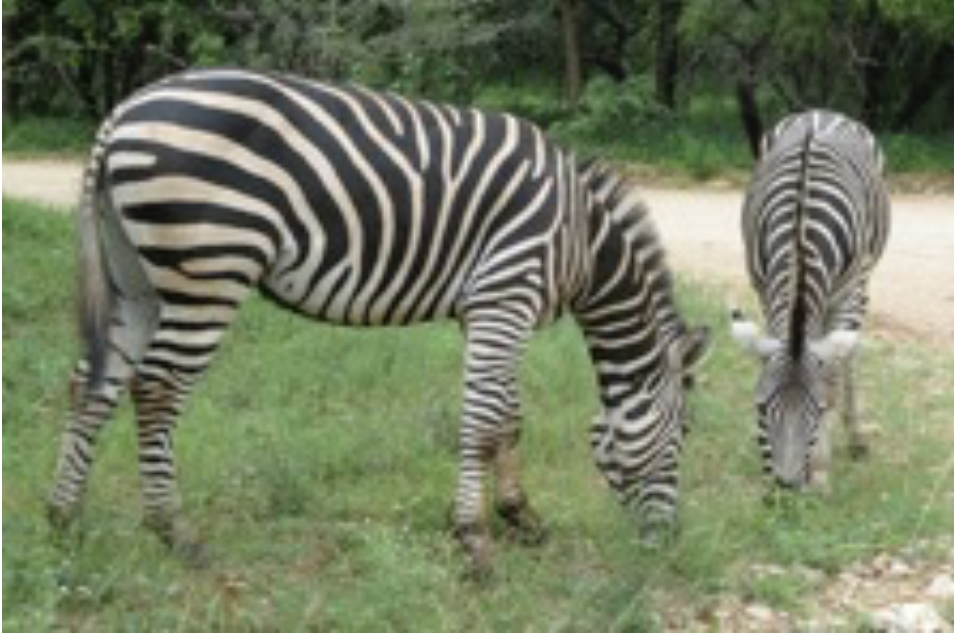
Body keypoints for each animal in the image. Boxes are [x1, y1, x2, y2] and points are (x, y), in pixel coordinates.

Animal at [48, 69, 712, 576]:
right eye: (682, 435)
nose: (669, 540)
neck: (582, 240)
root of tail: (121, 115)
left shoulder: (491, 308)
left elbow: (507, 417)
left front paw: (521, 516)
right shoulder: (506, 295)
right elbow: (481, 421)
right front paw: (474, 539)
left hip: (135, 277)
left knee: (93, 382)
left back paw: (64, 518)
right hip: (208, 272)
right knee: (157, 389)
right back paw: (175, 532)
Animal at [728, 110, 892, 490]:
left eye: (817, 411)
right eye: (760, 408)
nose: (786, 488)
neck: (801, 233)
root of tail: (821, 113)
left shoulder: (850, 292)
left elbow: (830, 372)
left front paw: (819, 470)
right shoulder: (763, 287)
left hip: (860, 283)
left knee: (847, 356)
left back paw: (856, 438)